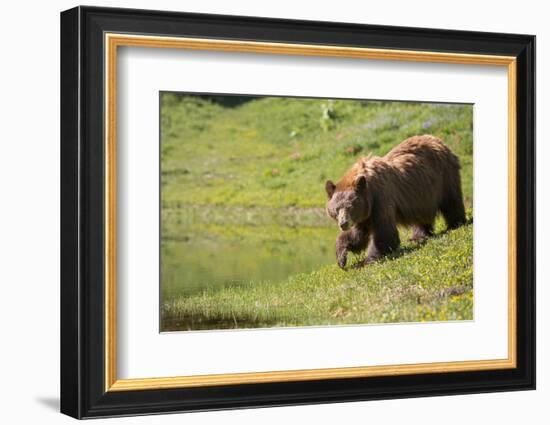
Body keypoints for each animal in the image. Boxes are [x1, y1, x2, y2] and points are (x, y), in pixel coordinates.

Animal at [326, 134, 468, 266]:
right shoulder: (365, 213)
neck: (369, 190)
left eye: (350, 206)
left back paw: (455, 223)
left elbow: (384, 231)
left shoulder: (381, 198)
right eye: (336, 209)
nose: (343, 223)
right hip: (421, 194)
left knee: (451, 201)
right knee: (421, 215)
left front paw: (369, 259)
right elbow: (358, 234)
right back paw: (418, 236)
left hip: (444, 176)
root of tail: (437, 140)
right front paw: (341, 256)